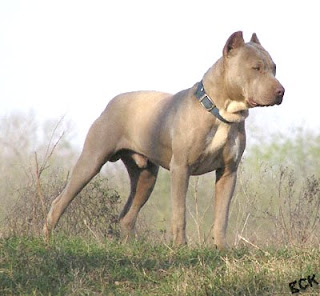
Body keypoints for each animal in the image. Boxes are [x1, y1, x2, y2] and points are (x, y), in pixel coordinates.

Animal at [43, 31, 284, 249]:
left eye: (274, 68)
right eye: (256, 68)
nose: (281, 91)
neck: (219, 111)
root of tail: (112, 102)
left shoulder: (228, 171)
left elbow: (221, 216)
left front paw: (222, 249)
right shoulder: (181, 168)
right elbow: (180, 212)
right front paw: (180, 247)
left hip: (146, 176)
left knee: (127, 216)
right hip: (91, 161)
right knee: (59, 202)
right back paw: (47, 240)